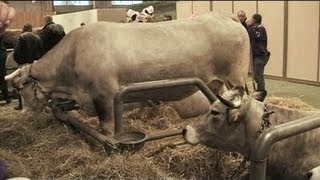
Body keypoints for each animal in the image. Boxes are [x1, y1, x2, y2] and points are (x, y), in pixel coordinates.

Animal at [4, 11, 250, 135]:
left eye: (20, 88)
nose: (22, 112)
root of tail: (222, 16)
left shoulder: (103, 95)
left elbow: (106, 128)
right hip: (215, 82)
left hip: (235, 76)